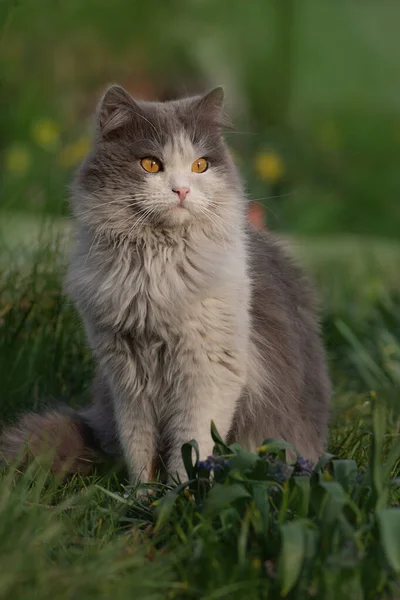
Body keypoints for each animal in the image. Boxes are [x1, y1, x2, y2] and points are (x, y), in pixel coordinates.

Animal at [0, 85, 332, 482]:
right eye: (150, 164)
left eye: (200, 165)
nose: (182, 191)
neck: (154, 271)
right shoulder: (126, 376)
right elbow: (138, 449)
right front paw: (140, 493)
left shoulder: (208, 373)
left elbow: (191, 447)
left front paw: (179, 492)